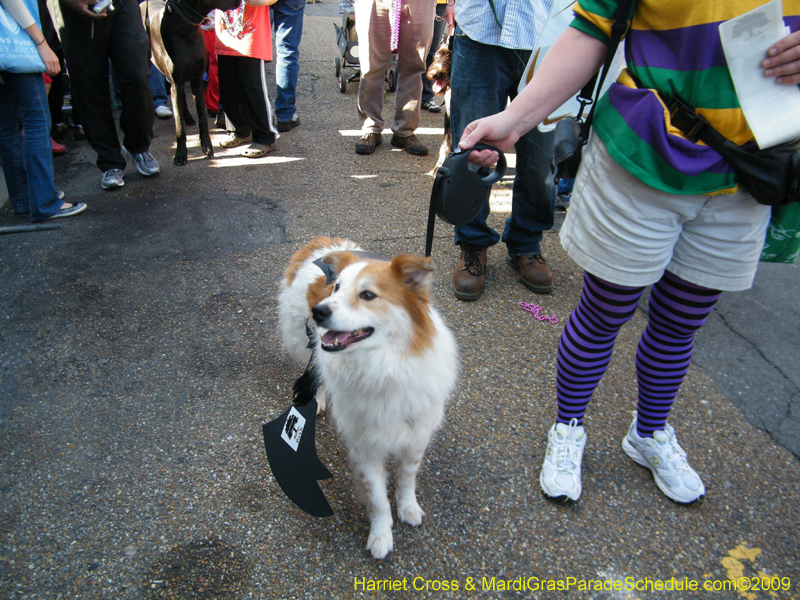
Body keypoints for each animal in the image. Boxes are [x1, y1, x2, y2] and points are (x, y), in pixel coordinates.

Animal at [278, 237, 460, 560]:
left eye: (368, 295)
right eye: (336, 288)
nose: (318, 311)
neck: (384, 367)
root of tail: (321, 242)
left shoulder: (415, 436)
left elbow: (406, 478)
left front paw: (408, 508)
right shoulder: (365, 448)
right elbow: (377, 498)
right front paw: (381, 535)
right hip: (305, 341)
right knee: (316, 368)